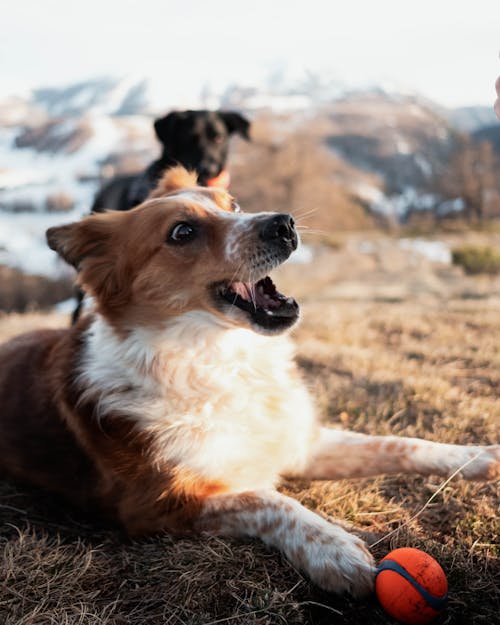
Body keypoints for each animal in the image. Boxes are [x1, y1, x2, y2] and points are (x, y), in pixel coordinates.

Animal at [0, 168, 498, 596]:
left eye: (233, 204)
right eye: (182, 232)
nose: (284, 223)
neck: (221, 359)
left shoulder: (299, 443)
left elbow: (397, 444)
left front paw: (476, 458)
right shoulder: (158, 504)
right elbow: (267, 500)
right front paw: (332, 548)